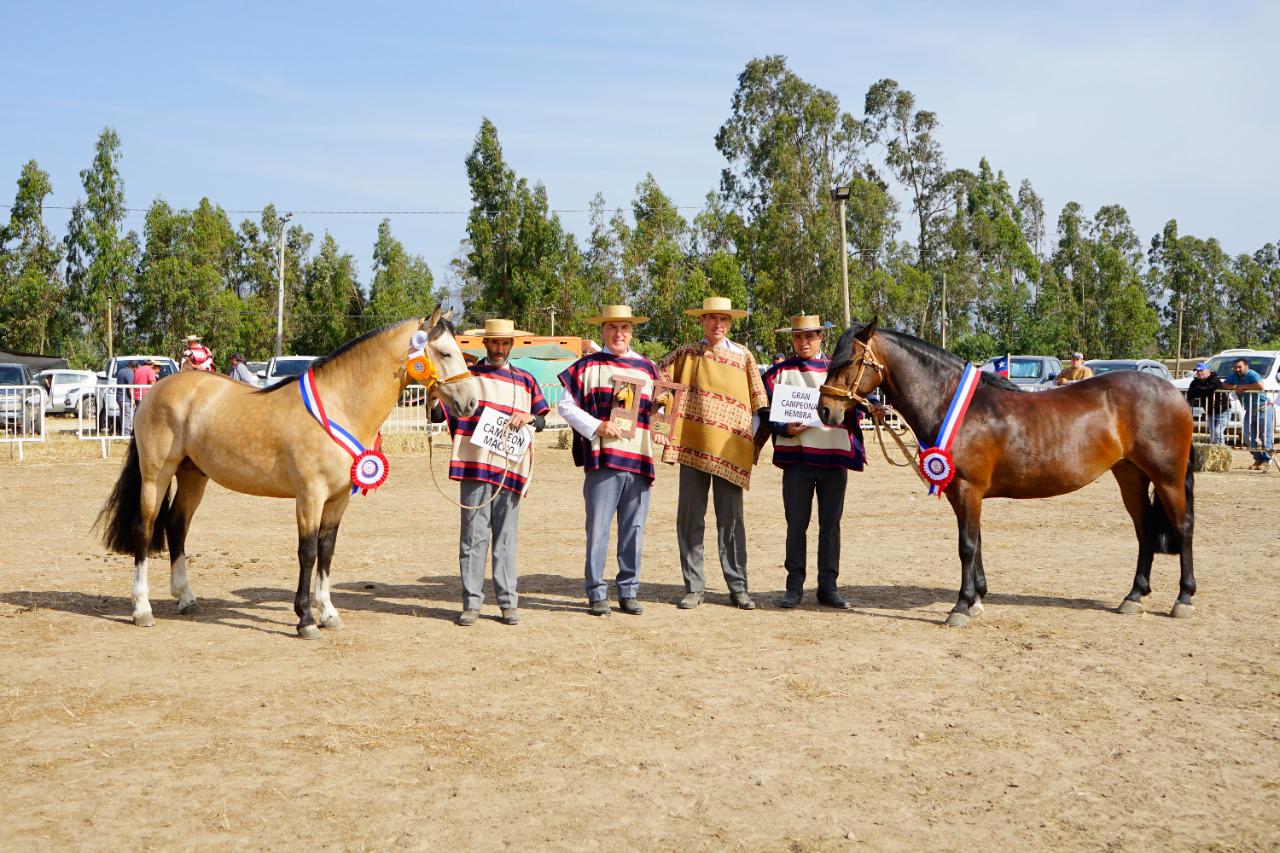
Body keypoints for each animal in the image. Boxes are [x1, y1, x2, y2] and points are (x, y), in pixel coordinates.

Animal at [94, 308, 476, 635]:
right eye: (445, 353)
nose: (470, 402)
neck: (338, 406)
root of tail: (158, 390)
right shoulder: (310, 496)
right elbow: (307, 552)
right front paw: (305, 619)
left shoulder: (338, 499)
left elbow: (327, 549)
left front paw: (329, 613)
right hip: (156, 475)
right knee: (145, 529)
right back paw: (142, 609)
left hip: (193, 475)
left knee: (176, 525)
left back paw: (186, 598)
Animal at [814, 318, 1192, 625]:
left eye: (849, 361)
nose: (825, 410)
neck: (954, 403)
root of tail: (1173, 392)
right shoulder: (961, 492)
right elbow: (976, 541)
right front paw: (978, 598)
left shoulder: (968, 488)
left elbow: (966, 546)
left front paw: (961, 607)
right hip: (1130, 475)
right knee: (1144, 529)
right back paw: (1134, 597)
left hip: (1167, 478)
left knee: (1182, 526)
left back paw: (1183, 598)